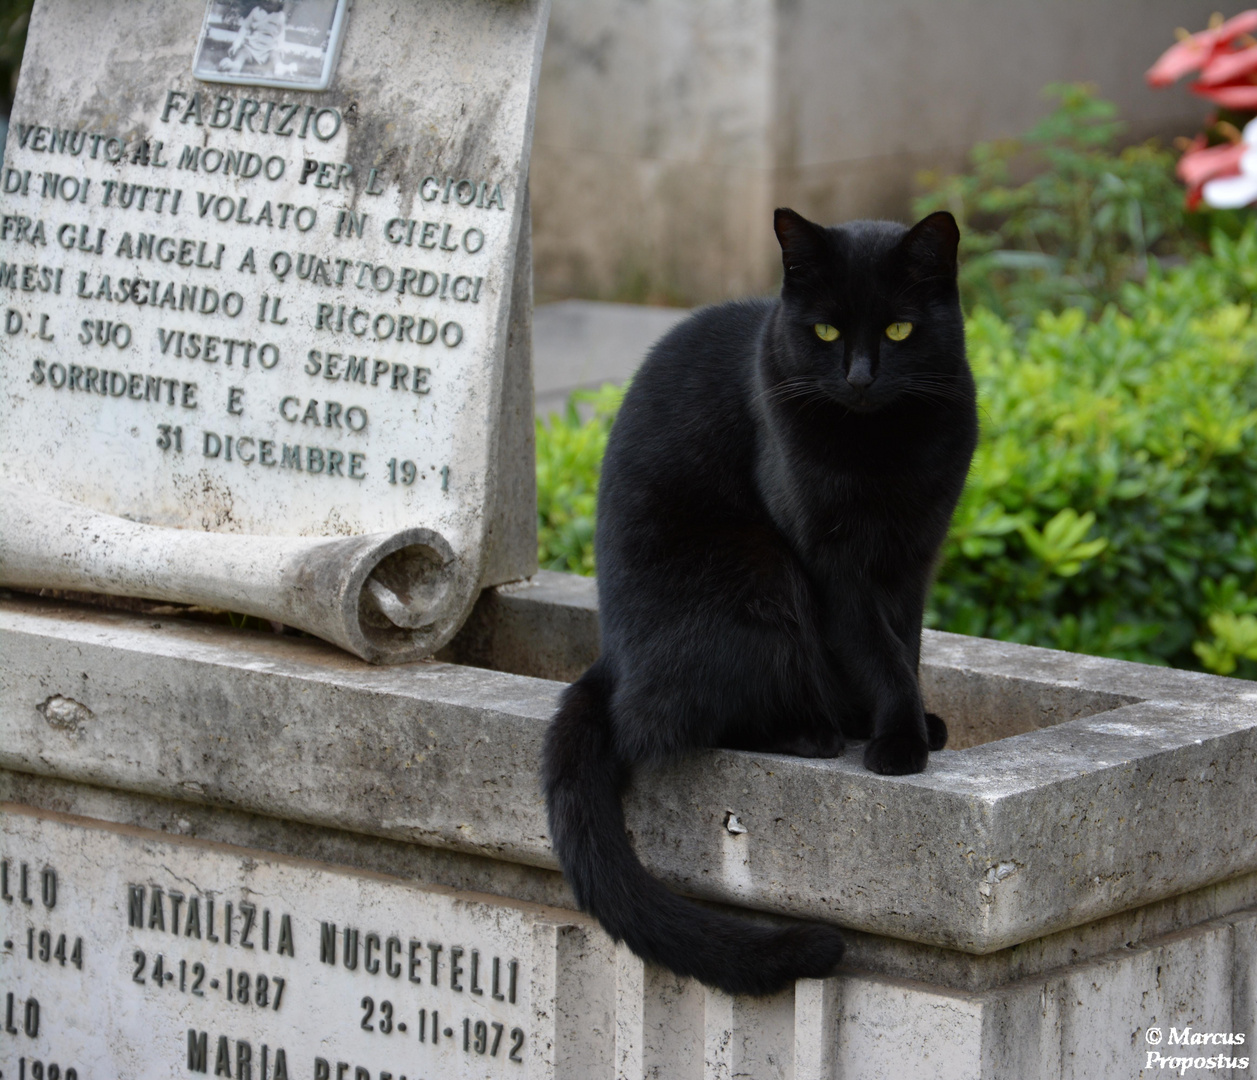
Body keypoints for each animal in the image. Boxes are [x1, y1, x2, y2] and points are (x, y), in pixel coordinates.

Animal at [535, 208, 975, 995]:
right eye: (825, 332)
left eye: (899, 330)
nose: (859, 377)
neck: (880, 445)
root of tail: (610, 662)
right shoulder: (829, 563)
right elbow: (877, 651)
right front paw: (898, 741)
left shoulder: (913, 557)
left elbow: (904, 643)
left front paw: (907, 724)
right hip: (758, 571)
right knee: (674, 721)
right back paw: (811, 734)